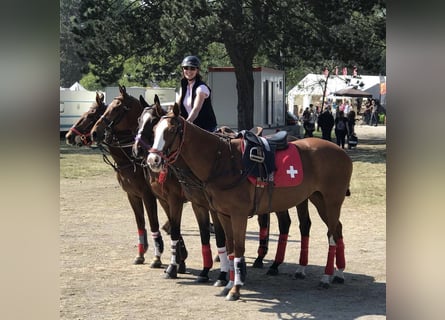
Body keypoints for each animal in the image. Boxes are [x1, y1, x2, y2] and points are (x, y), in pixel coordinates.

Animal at [64, 89, 163, 264]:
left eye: (91, 115)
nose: (68, 136)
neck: (131, 158)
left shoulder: (148, 196)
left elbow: (153, 223)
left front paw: (157, 258)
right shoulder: (132, 195)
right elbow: (140, 222)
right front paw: (140, 254)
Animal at [147, 104, 352, 302]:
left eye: (171, 130)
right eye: (155, 129)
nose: (152, 160)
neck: (222, 160)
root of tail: (342, 152)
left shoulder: (238, 214)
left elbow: (238, 248)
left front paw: (235, 289)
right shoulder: (223, 213)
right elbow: (229, 247)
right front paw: (229, 283)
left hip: (332, 202)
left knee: (331, 235)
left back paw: (326, 277)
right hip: (318, 199)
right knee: (338, 230)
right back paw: (339, 273)